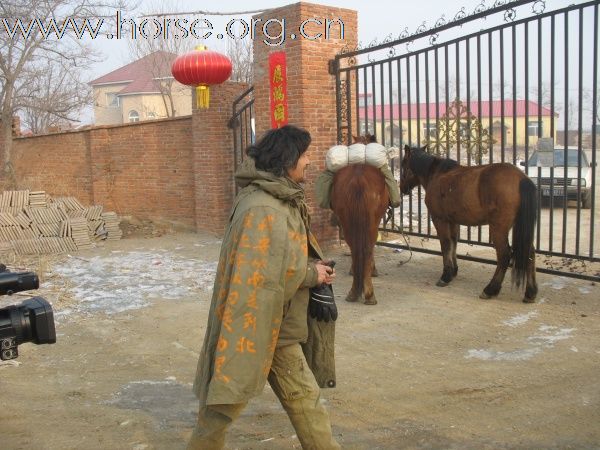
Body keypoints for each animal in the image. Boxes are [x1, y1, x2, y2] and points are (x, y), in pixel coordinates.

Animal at [330, 133, 392, 302]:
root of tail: (359, 179)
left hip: (347, 219)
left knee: (355, 248)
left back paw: (354, 291)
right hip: (372, 220)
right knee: (367, 248)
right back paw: (369, 293)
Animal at [398, 146, 540, 304]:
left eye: (403, 164)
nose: (402, 188)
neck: (437, 175)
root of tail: (521, 178)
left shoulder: (440, 219)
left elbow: (445, 244)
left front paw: (446, 276)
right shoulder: (453, 221)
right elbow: (453, 243)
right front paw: (453, 271)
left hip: (498, 228)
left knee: (504, 255)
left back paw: (490, 289)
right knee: (530, 254)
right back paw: (530, 293)